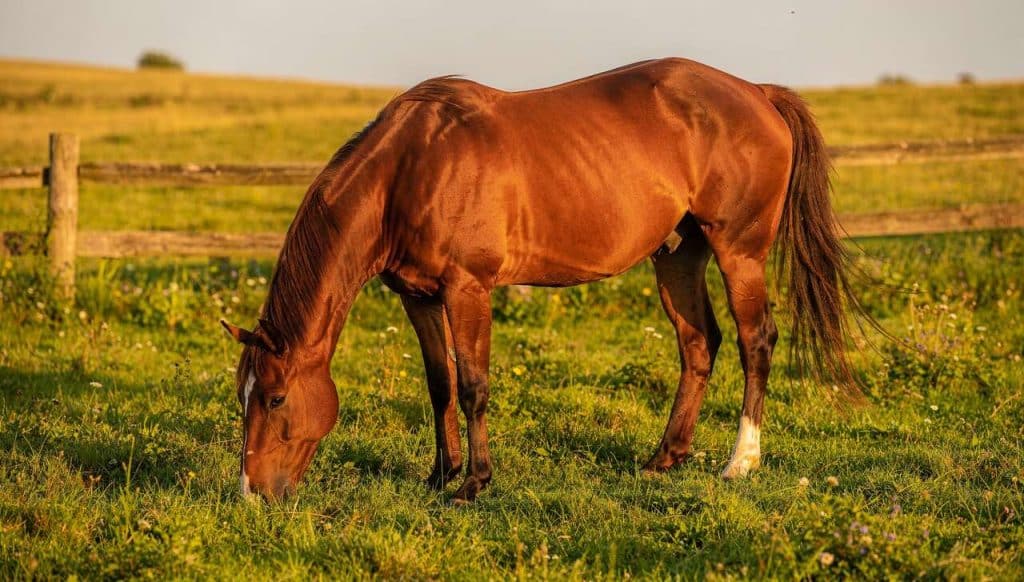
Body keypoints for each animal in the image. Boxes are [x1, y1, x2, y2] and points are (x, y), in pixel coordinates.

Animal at [222, 57, 865, 503]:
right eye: (243, 396)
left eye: (276, 398)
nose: (253, 495)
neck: (409, 169)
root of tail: (758, 93)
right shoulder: (418, 297)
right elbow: (440, 385)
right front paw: (439, 475)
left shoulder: (467, 290)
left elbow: (474, 384)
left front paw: (473, 484)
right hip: (678, 255)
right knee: (699, 343)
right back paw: (665, 457)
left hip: (740, 253)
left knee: (756, 342)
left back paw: (740, 462)